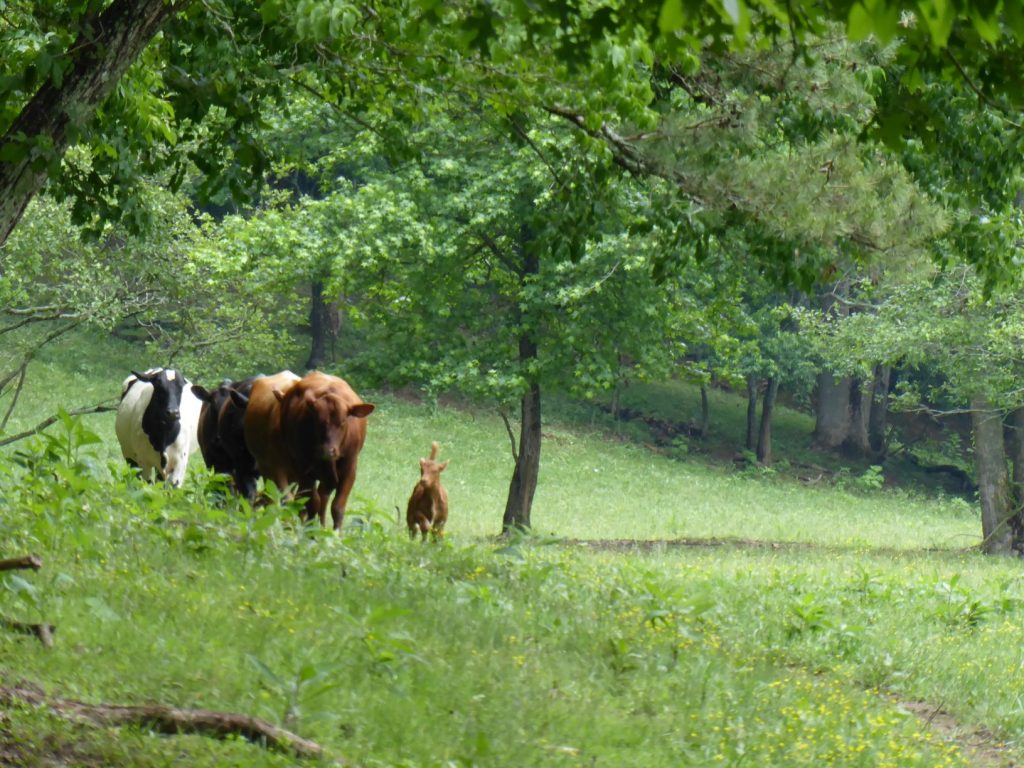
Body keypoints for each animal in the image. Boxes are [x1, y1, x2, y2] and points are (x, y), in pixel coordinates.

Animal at [276, 370, 376, 528]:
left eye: (343, 421)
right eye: (318, 421)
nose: (328, 451)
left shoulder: (350, 468)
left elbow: (337, 506)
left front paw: (336, 532)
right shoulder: (304, 469)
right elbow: (312, 503)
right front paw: (310, 531)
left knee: (323, 497)